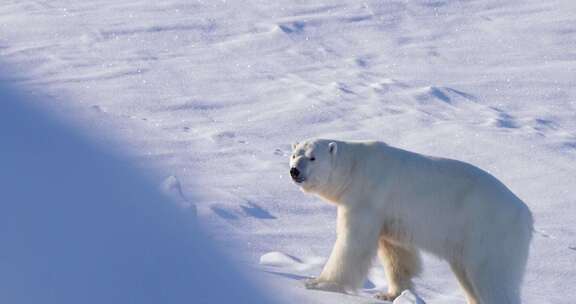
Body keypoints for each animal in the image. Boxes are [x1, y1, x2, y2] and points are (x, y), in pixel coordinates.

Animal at [290, 139, 532, 302]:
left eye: (312, 157)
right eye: (294, 154)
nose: (295, 171)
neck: (355, 168)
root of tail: (526, 215)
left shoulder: (368, 197)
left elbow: (352, 244)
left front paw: (318, 283)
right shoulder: (388, 213)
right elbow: (396, 253)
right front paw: (391, 294)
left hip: (489, 230)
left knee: (493, 275)